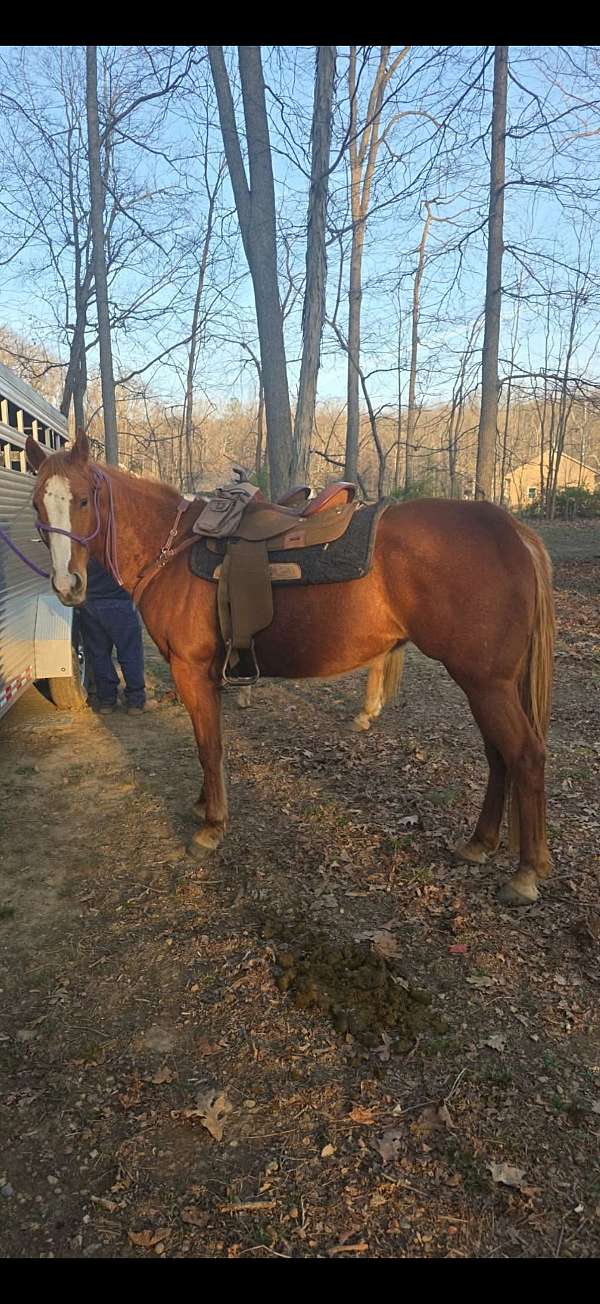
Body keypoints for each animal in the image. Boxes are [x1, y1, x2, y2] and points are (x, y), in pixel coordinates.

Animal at [26, 431, 555, 907]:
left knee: (524, 755)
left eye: (83, 500)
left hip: (485, 684)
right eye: (36, 505)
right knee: (498, 756)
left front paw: (211, 827)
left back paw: (526, 874)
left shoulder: (190, 671)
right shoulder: (207, 676)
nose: (68, 585)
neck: (171, 551)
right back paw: (480, 843)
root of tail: (514, 531)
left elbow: (208, 747)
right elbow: (208, 744)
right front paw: (203, 805)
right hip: (486, 684)